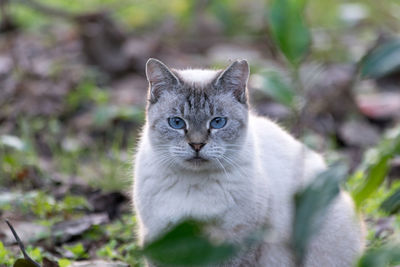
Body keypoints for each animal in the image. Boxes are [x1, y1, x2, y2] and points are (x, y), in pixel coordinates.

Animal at [133, 59, 364, 267]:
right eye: (177, 122)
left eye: (218, 122)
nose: (197, 145)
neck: (194, 184)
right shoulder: (161, 239)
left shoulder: (236, 243)